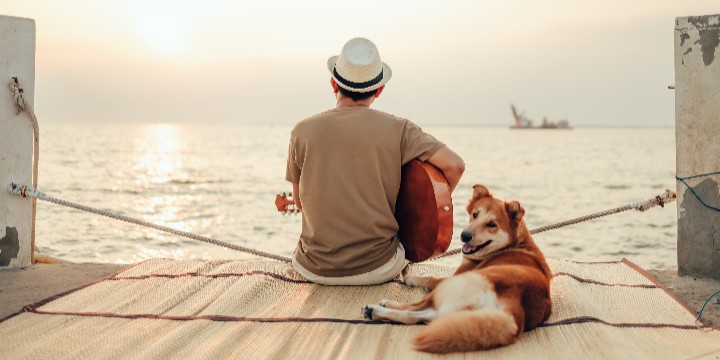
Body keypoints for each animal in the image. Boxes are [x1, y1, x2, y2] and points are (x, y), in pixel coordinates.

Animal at [362, 184, 556, 352]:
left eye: (492, 224)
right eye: (475, 214)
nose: (465, 235)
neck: (515, 244)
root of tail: (514, 308)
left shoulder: (454, 276)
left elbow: (431, 278)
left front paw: (412, 278)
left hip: (454, 285)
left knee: (414, 308)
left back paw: (381, 306)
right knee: (418, 316)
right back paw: (375, 312)